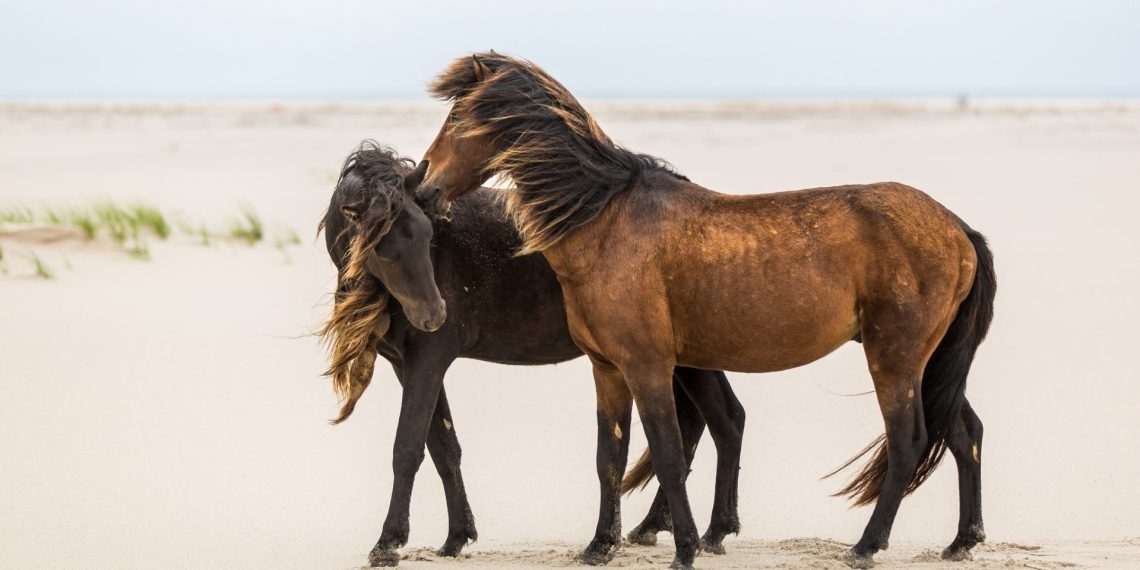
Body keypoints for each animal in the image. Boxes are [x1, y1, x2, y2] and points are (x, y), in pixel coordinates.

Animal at [318, 142, 748, 567]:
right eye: (382, 249)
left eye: (426, 236)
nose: (434, 315)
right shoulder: (407, 365)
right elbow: (443, 446)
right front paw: (456, 537)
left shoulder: (429, 359)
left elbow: (407, 448)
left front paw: (387, 543)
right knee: (714, 420)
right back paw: (670, 528)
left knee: (720, 421)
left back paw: (706, 531)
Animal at [415, 53, 996, 570]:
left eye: (457, 119)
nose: (422, 187)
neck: (606, 221)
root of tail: (958, 228)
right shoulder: (607, 370)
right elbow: (610, 459)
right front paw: (600, 546)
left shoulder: (647, 367)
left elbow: (668, 454)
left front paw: (685, 549)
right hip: (930, 364)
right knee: (963, 434)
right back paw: (961, 542)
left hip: (894, 359)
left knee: (909, 441)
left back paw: (866, 547)